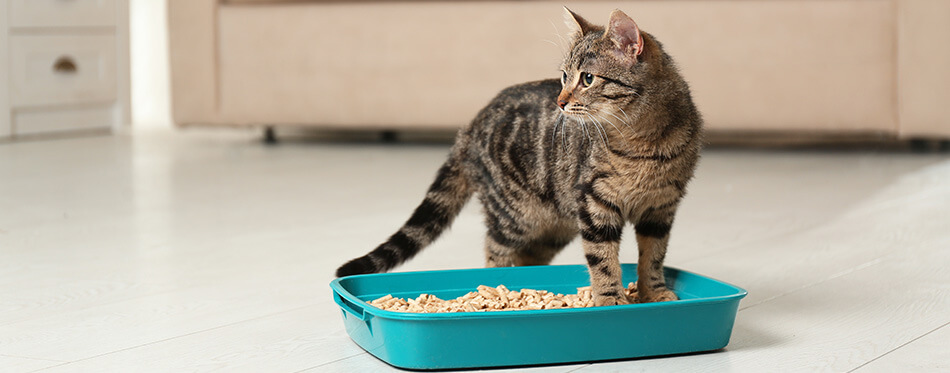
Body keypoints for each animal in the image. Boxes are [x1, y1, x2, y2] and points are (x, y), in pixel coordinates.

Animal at [334, 8, 700, 306]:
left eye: (588, 78)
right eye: (564, 76)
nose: (560, 101)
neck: (644, 141)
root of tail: (469, 126)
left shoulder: (661, 209)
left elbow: (653, 256)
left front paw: (654, 292)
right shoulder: (595, 205)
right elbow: (603, 260)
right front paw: (610, 299)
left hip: (554, 225)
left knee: (528, 259)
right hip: (514, 215)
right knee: (495, 251)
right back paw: (498, 289)